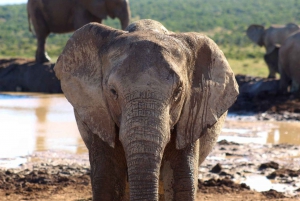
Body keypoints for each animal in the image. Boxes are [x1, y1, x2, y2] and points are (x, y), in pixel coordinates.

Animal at [52, 19, 238, 201]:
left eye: (178, 92)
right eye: (113, 91)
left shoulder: (191, 117)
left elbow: (183, 183)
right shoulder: (98, 116)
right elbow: (107, 182)